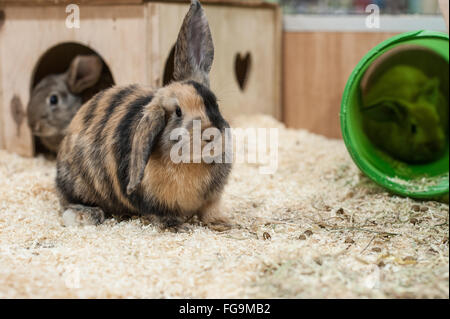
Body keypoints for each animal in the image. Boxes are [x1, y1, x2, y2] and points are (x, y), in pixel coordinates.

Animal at [55, 0, 232, 230]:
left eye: (214, 103)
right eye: (178, 112)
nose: (211, 135)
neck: (192, 163)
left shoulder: (212, 199)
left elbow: (210, 210)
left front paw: (222, 223)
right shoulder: (153, 202)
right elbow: (161, 214)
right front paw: (178, 226)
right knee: (67, 202)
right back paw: (86, 215)